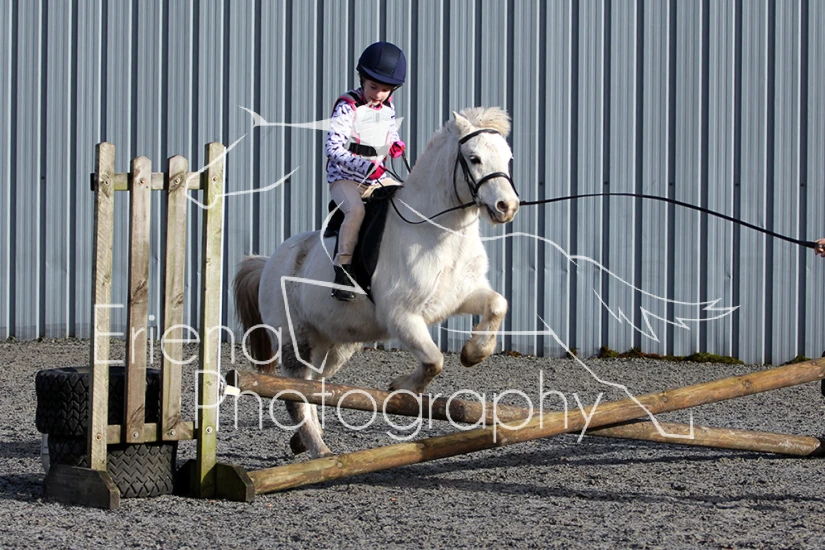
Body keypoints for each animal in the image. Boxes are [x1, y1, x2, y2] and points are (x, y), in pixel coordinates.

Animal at [233, 106, 520, 458]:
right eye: (474, 158)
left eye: (507, 158)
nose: (507, 207)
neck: (439, 231)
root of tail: (270, 264)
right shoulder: (402, 316)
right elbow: (434, 360)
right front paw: (402, 388)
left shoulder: (459, 297)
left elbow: (497, 304)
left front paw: (472, 354)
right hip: (295, 340)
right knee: (297, 393)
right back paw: (320, 451)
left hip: (334, 346)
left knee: (313, 385)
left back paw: (303, 441)